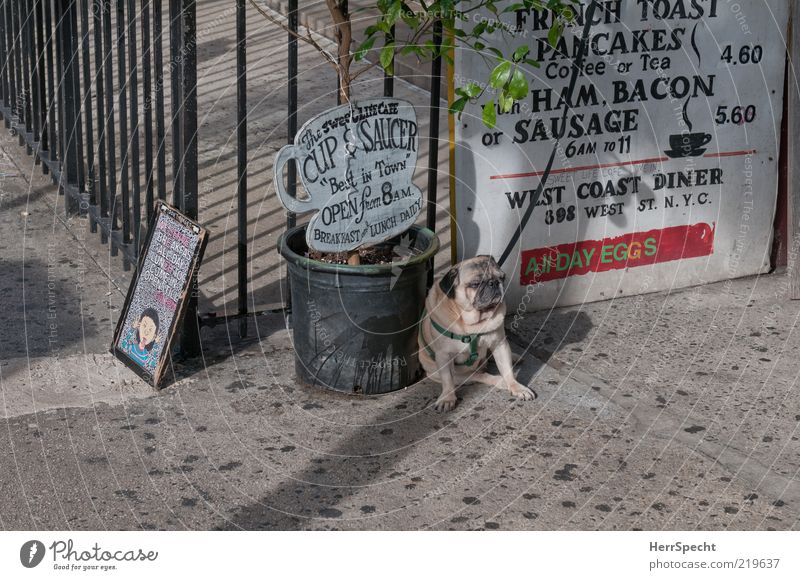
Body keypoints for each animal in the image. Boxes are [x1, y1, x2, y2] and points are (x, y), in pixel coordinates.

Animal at [418, 255, 536, 412]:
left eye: (502, 277)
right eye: (475, 284)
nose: (494, 283)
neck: (472, 324)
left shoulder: (499, 344)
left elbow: (507, 370)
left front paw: (516, 386)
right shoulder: (443, 355)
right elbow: (447, 380)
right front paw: (447, 398)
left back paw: (514, 359)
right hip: (446, 372)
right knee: (477, 376)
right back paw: (499, 381)